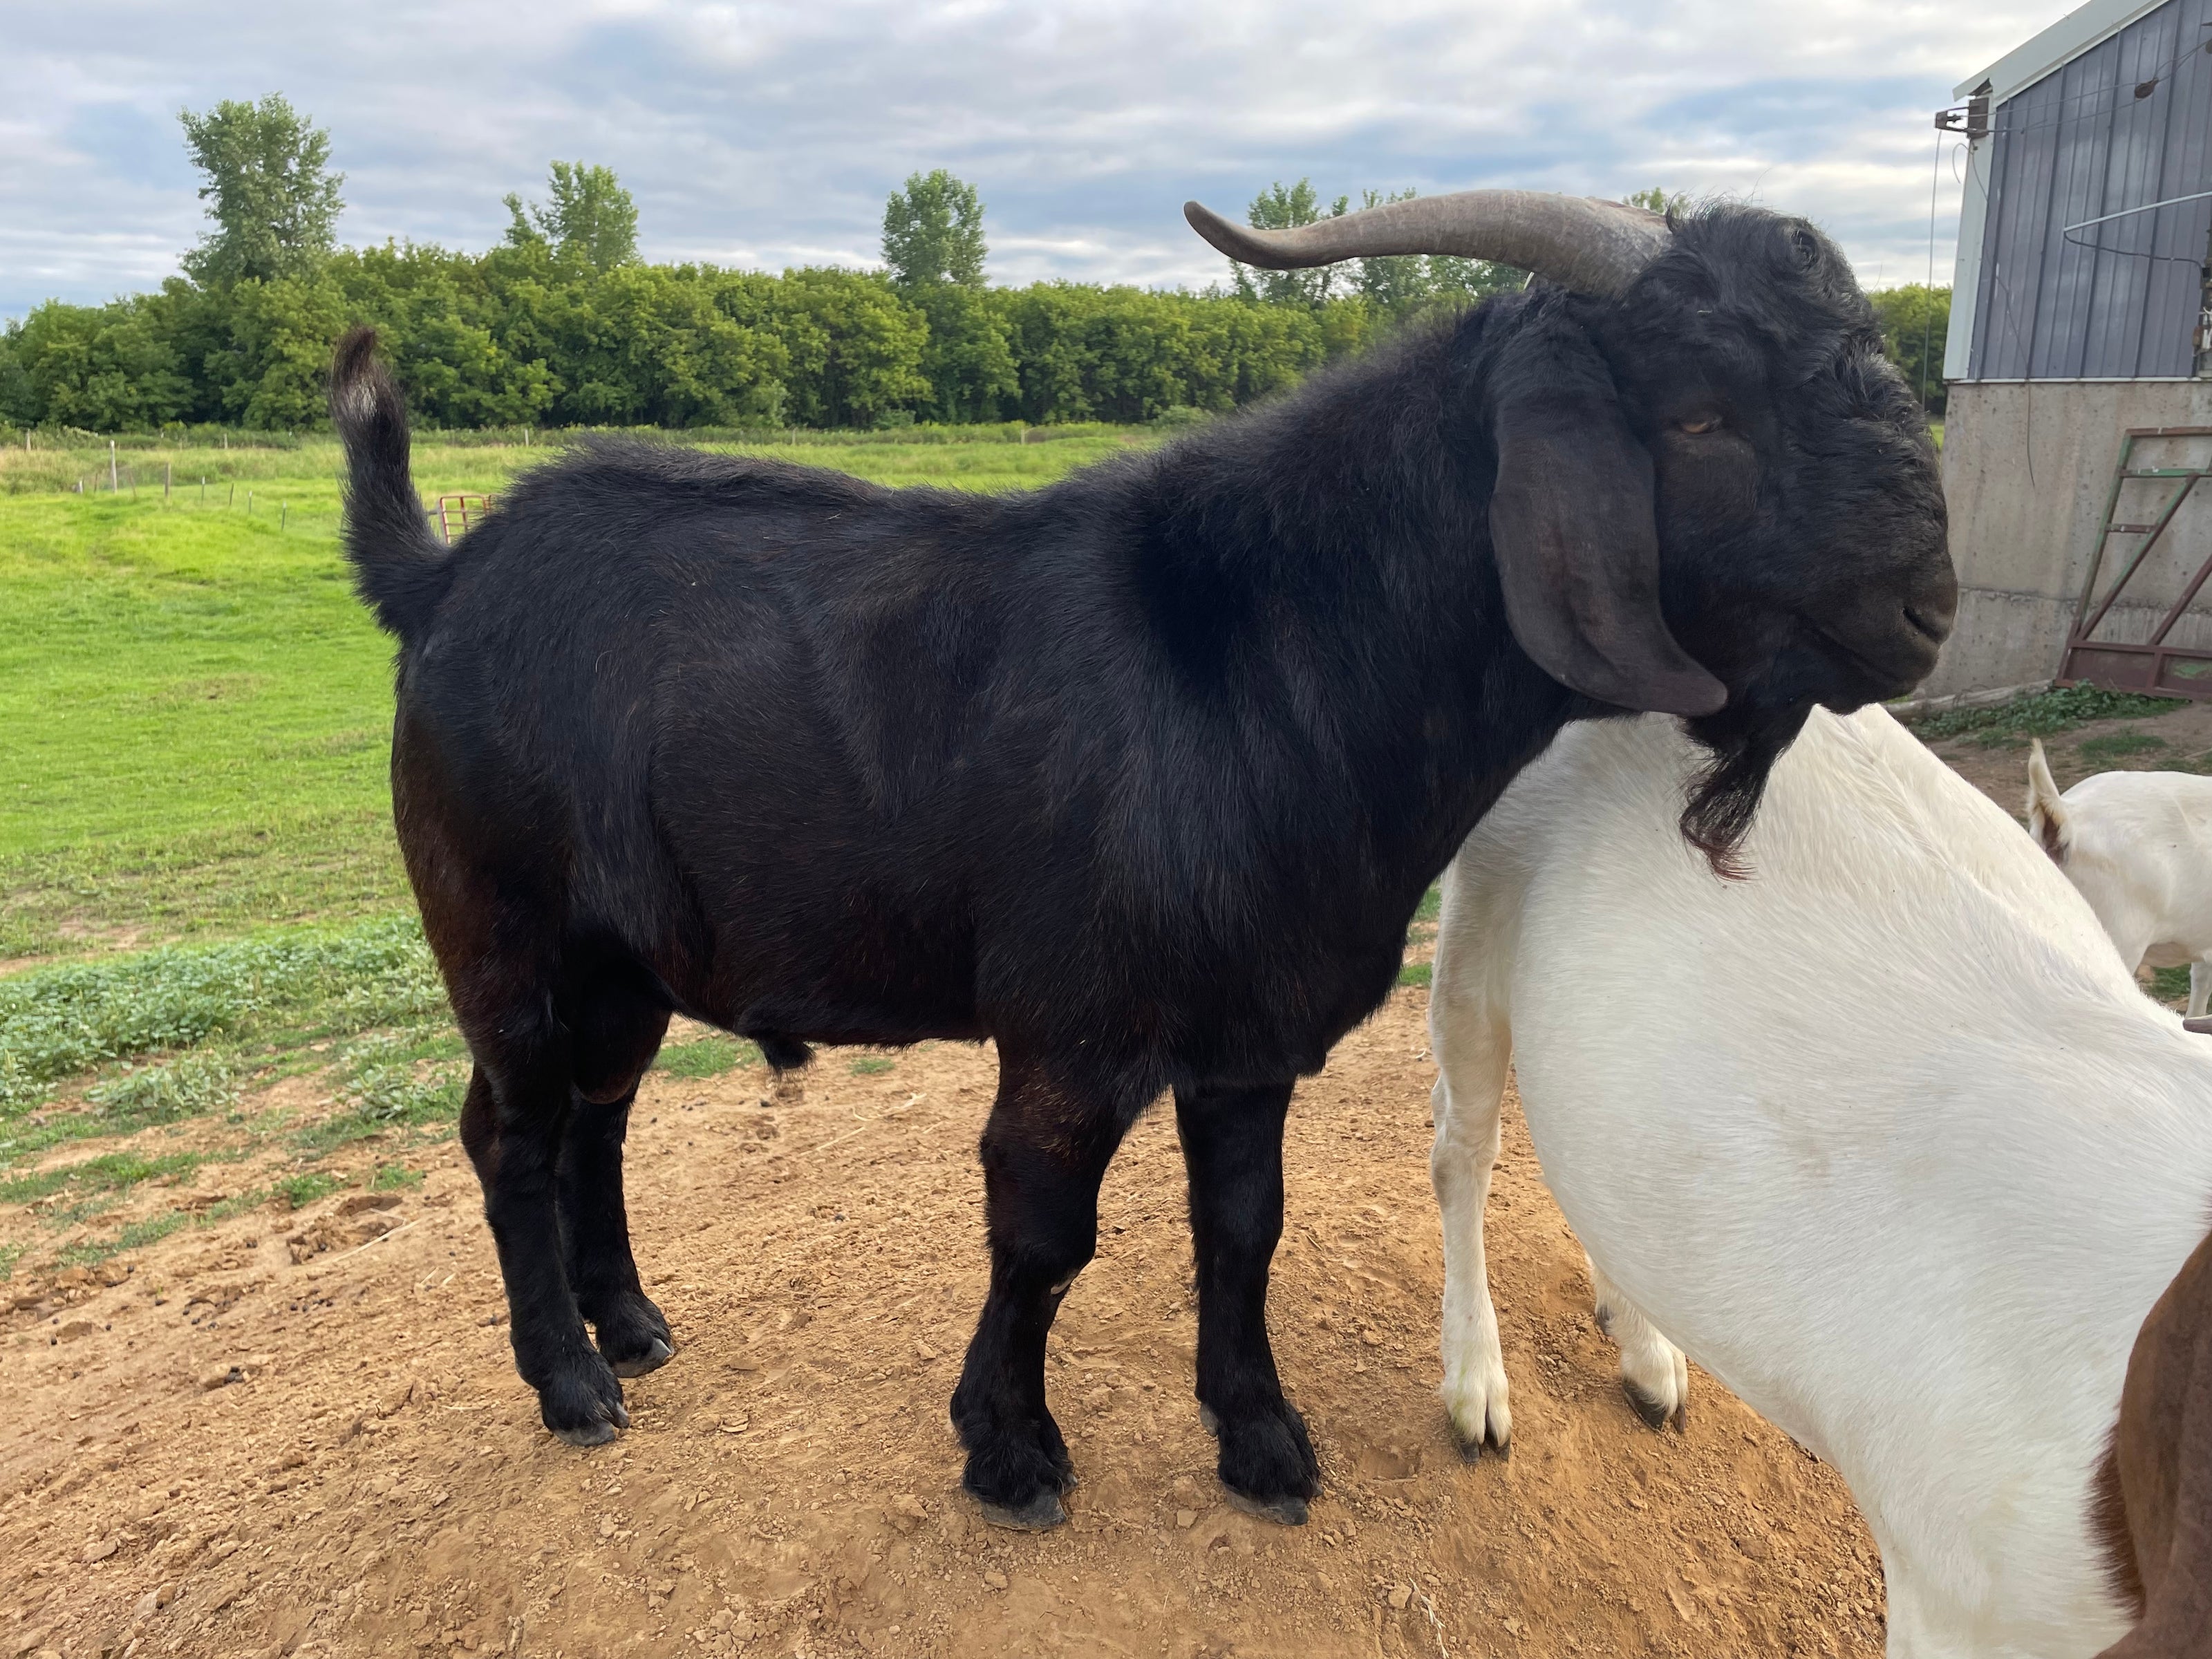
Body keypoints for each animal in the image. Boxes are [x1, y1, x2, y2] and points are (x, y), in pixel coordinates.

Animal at [332, 189, 1954, 1531]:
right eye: (1700, 415)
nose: (1929, 609)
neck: (1264, 664)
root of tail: (444, 577)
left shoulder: (1248, 1037)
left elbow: (1242, 1228)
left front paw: (1263, 1443)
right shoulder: (1071, 1030)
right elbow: (1044, 1233)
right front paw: (1010, 1457)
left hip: (624, 962)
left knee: (596, 1121)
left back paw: (634, 1328)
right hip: (503, 930)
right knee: (512, 1135)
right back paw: (572, 1385)